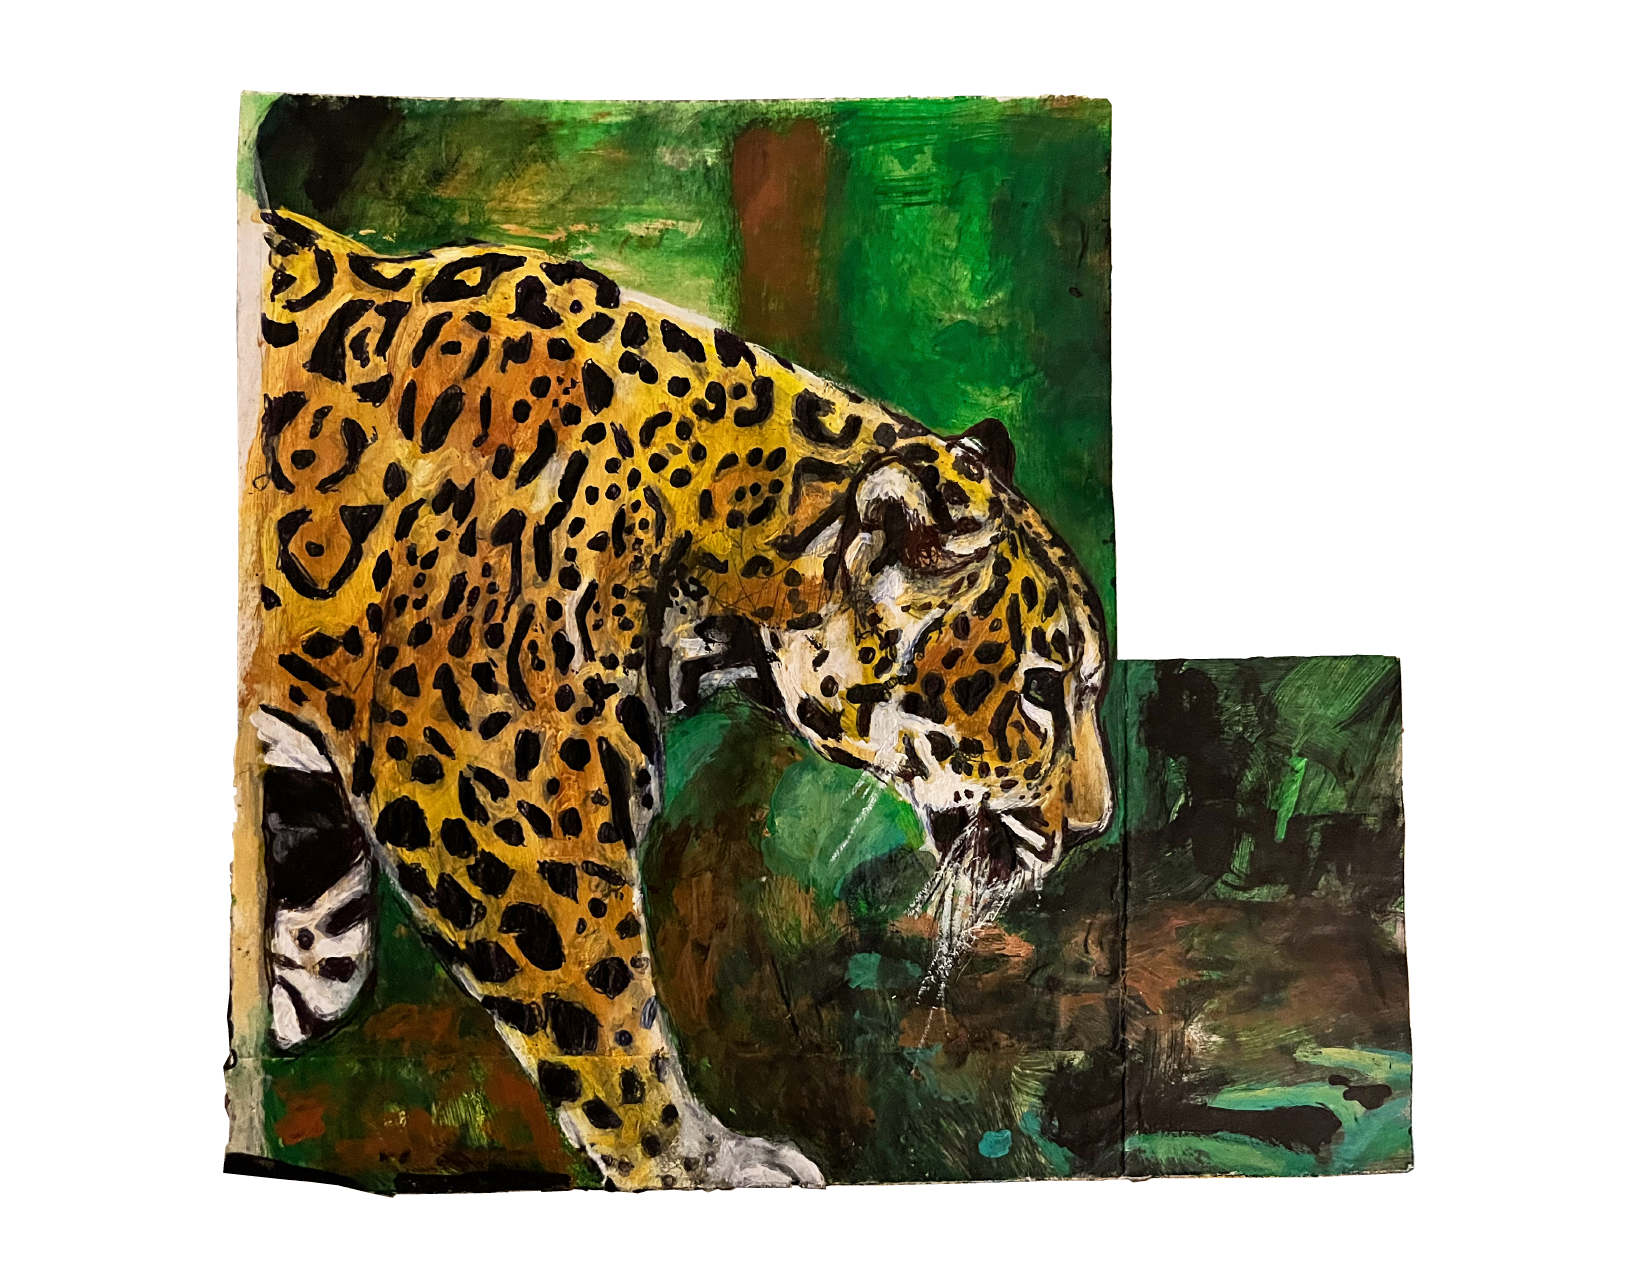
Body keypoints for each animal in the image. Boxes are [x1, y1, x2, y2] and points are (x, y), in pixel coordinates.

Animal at [236, 209, 1116, 1190]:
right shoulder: (514, 827)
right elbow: (607, 1023)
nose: (1095, 827)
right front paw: (694, 1163)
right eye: (1041, 690)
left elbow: (323, 957)